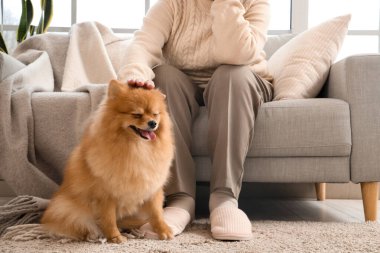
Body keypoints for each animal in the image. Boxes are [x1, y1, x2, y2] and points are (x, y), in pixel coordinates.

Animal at [40, 79, 174, 243]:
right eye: (137, 114)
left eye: (155, 114)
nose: (153, 123)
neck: (137, 149)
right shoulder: (105, 194)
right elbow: (109, 219)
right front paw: (114, 236)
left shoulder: (152, 187)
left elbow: (157, 213)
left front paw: (163, 230)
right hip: (67, 210)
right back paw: (93, 234)